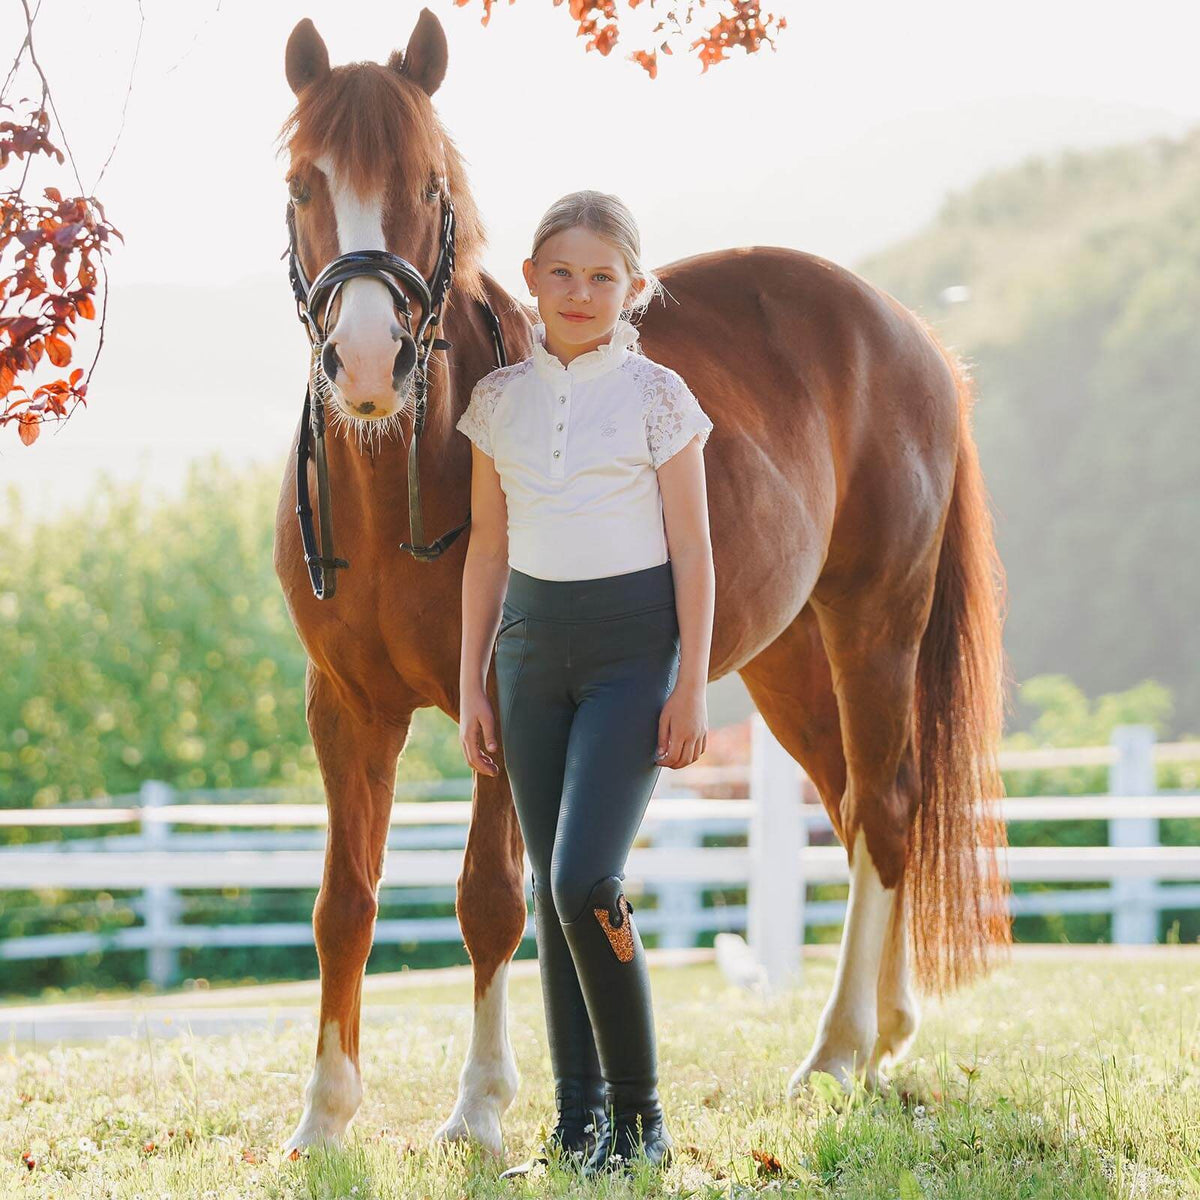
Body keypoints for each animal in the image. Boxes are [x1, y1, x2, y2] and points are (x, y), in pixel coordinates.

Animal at [273, 8, 1012, 1157]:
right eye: (305, 184)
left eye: (430, 188)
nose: (364, 365)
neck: (399, 476)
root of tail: (911, 335)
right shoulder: (344, 709)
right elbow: (342, 903)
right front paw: (324, 1117)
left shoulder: (496, 703)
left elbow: (492, 899)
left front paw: (478, 1109)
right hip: (787, 660)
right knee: (854, 807)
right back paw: (885, 1032)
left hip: (874, 625)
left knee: (888, 811)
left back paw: (838, 1049)